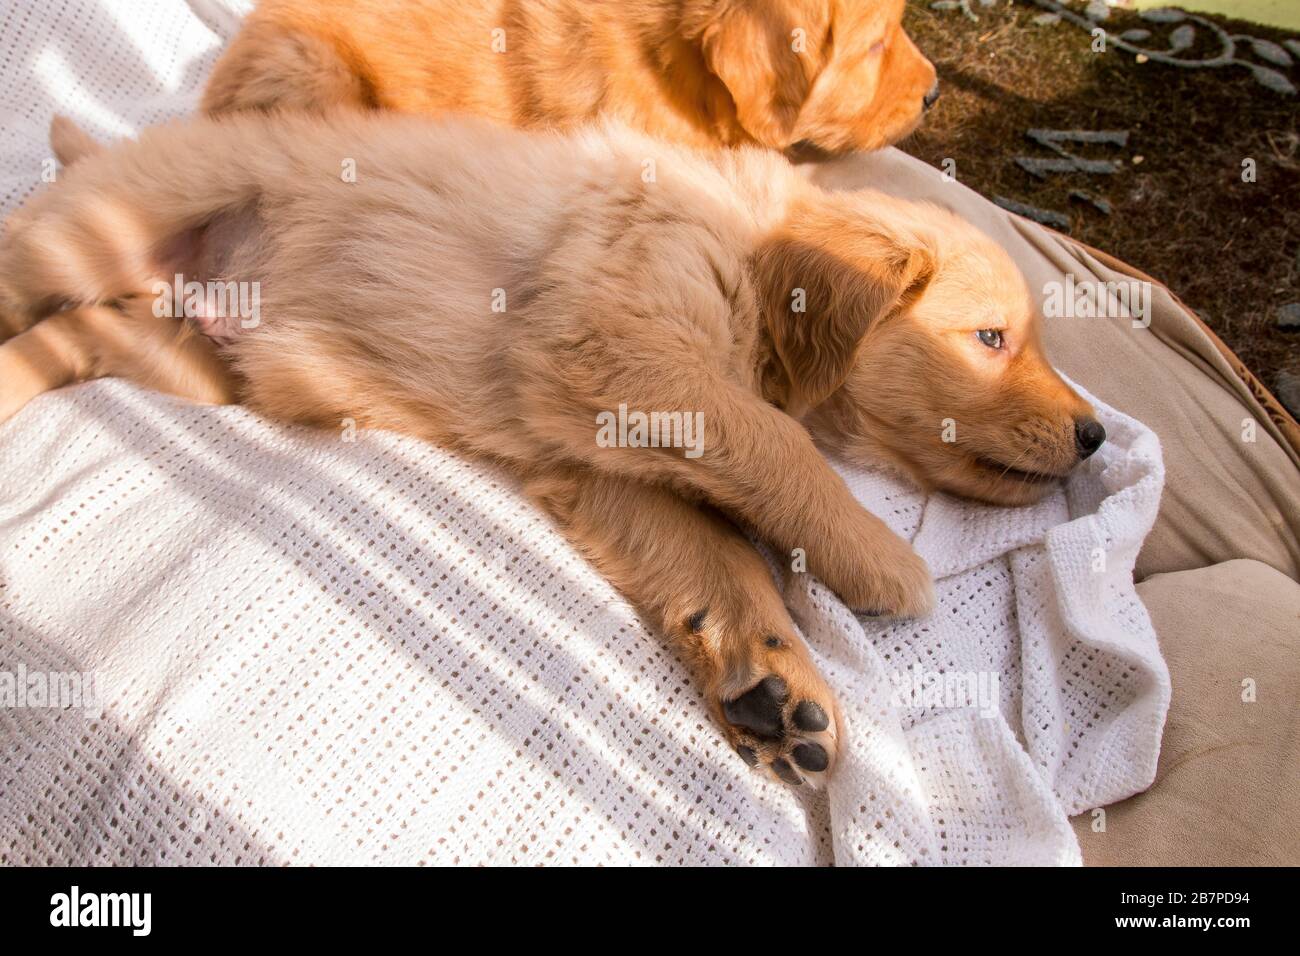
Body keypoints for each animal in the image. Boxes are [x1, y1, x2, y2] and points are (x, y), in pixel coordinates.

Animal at [0, 111, 1107, 785]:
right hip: (93, 232)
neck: (751, 259)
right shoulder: (617, 345)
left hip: (174, 355)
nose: (1097, 434)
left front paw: (774, 682)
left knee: (60, 342)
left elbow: (714, 553)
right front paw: (877, 554)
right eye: (991, 340)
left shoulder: (593, 452)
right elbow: (778, 438)